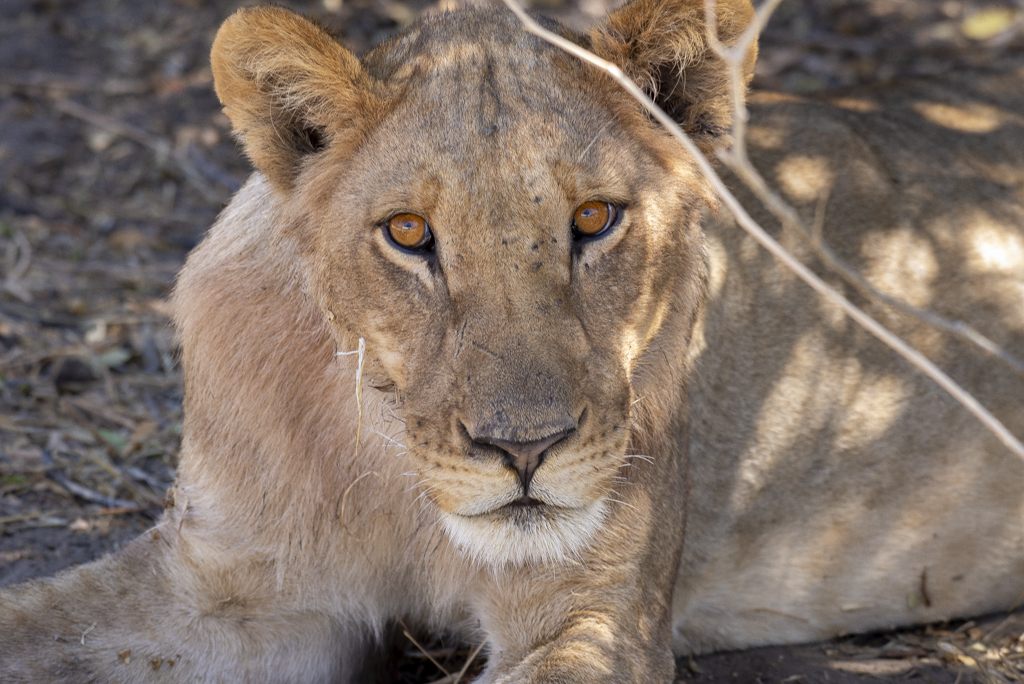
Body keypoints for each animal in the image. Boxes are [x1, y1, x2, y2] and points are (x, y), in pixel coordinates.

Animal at [2, 2, 1024, 679]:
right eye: (409, 234)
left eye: (596, 219)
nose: (524, 450)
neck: (390, 469)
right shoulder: (227, 589)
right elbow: (33, 621)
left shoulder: (591, 618)